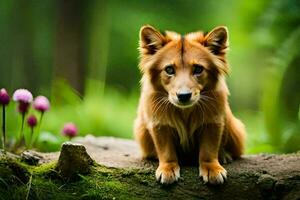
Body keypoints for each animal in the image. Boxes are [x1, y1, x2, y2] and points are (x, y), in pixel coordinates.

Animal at [134, 24, 246, 184]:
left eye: (198, 69)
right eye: (169, 69)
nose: (183, 96)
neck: (185, 111)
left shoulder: (213, 122)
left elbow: (208, 150)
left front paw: (212, 169)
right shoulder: (160, 124)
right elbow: (166, 151)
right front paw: (167, 169)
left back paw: (224, 155)